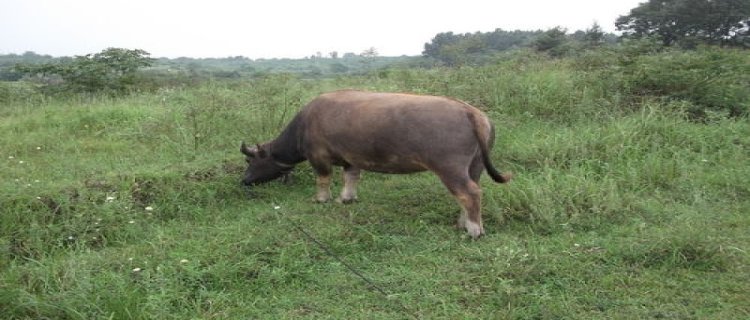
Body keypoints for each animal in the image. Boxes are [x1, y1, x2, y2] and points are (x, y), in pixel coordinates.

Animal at [244, 90, 516, 238]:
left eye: (250, 159)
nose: (244, 180)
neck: (306, 123)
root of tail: (470, 112)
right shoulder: (351, 158)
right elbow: (351, 178)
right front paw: (346, 198)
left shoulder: (319, 158)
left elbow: (323, 179)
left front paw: (321, 199)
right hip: (475, 166)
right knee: (471, 191)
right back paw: (463, 222)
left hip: (451, 168)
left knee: (469, 193)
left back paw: (474, 230)